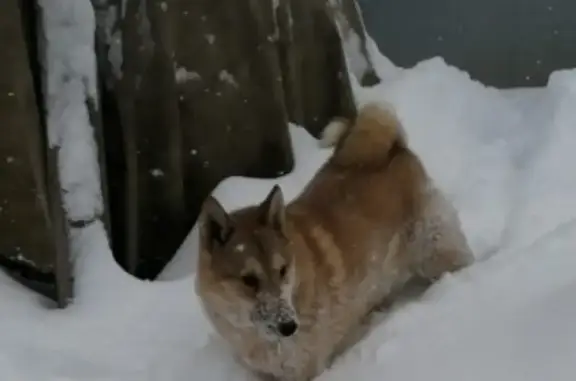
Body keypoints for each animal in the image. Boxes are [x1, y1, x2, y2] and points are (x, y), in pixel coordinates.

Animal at [196, 101, 474, 380]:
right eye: (248, 280)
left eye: (282, 270)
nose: (289, 327)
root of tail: (394, 147)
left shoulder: (305, 370)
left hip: (437, 253)